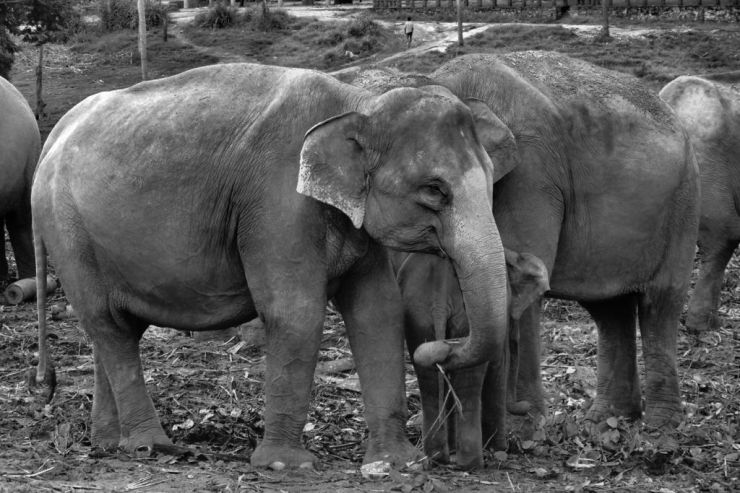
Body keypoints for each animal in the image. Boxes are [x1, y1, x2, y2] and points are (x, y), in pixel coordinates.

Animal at [31, 63, 517, 470]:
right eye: (434, 190)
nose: (436, 348)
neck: (357, 102)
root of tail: (53, 135)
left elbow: (378, 311)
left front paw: (397, 462)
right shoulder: (277, 205)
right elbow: (295, 313)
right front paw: (285, 465)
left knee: (114, 329)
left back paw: (107, 442)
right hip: (66, 229)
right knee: (107, 323)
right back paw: (153, 446)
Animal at [340, 51, 700, 431]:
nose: (440, 350)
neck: (443, 83)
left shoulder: (532, 174)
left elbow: (519, 290)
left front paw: (522, 428)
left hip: (683, 204)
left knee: (660, 301)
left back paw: (660, 426)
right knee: (608, 308)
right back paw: (607, 419)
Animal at [394, 249, 548, 469]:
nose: (524, 405)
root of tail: (440, 289)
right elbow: (498, 367)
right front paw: (500, 449)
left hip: (417, 313)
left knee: (430, 382)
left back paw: (438, 457)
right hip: (463, 317)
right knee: (469, 385)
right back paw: (472, 463)